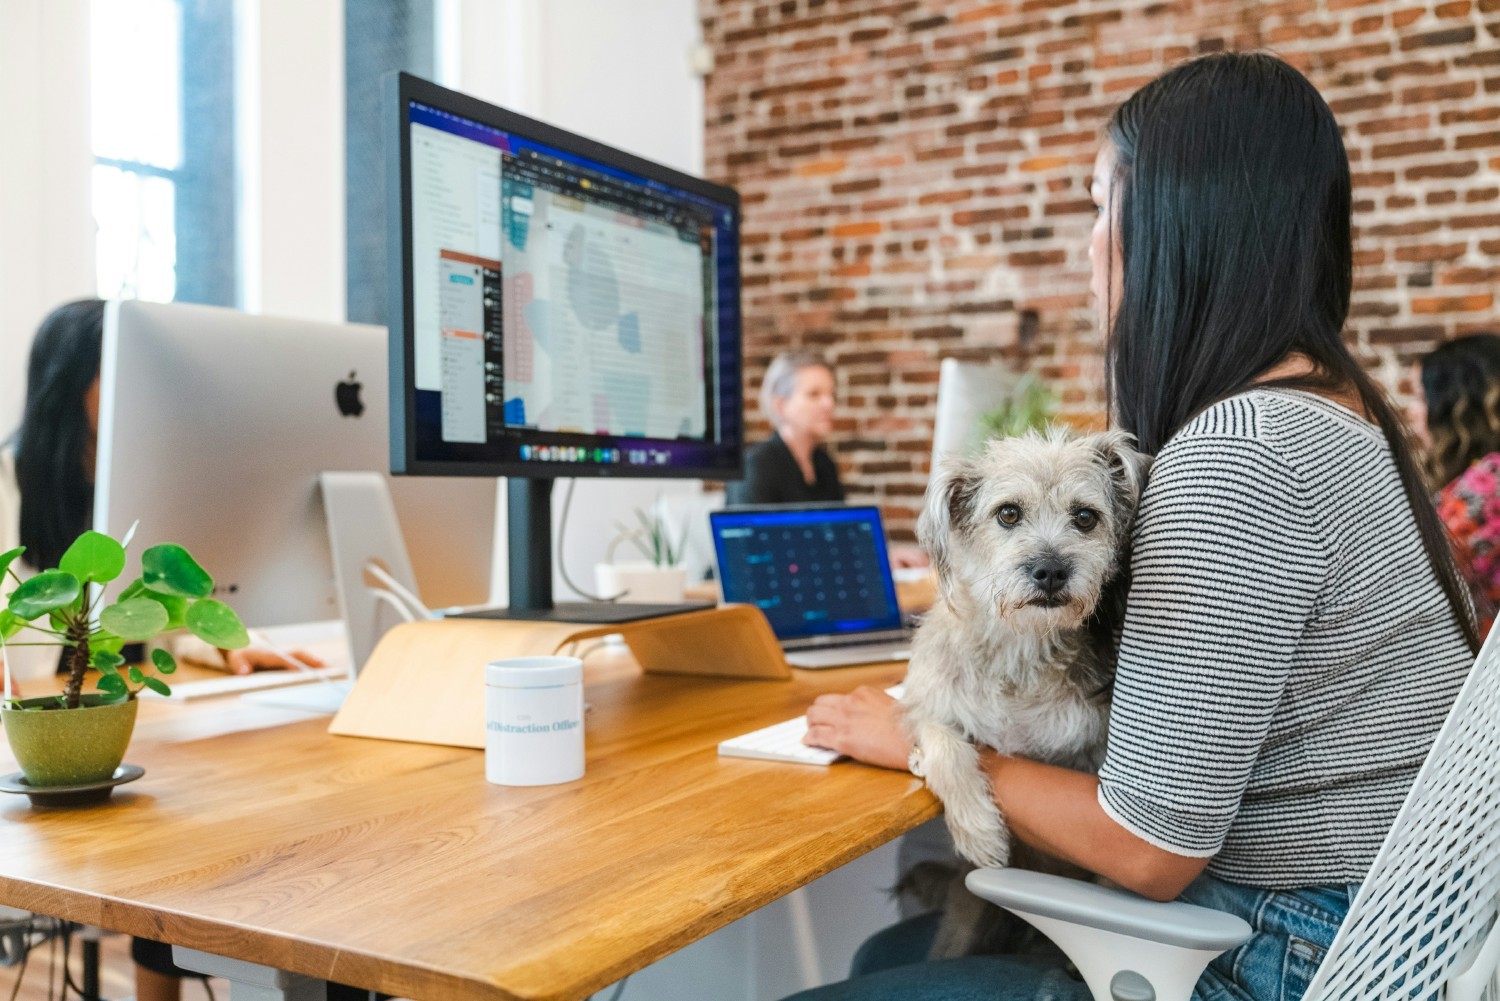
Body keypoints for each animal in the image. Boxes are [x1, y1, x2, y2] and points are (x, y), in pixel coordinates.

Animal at [900, 432, 1146, 876]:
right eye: (1008, 513)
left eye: (1085, 517)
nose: (1051, 571)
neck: (1019, 650)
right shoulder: (927, 704)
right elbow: (944, 745)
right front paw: (980, 833)